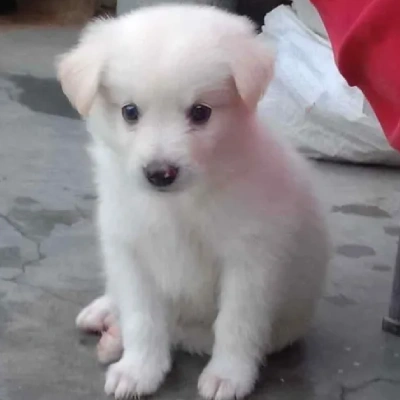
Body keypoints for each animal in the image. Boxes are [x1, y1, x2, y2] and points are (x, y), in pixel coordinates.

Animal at [57, 3, 330, 400]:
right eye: (129, 111)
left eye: (201, 112)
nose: (160, 173)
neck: (179, 205)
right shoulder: (129, 249)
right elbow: (141, 317)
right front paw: (138, 369)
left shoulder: (250, 260)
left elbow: (236, 324)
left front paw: (228, 375)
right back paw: (104, 315)